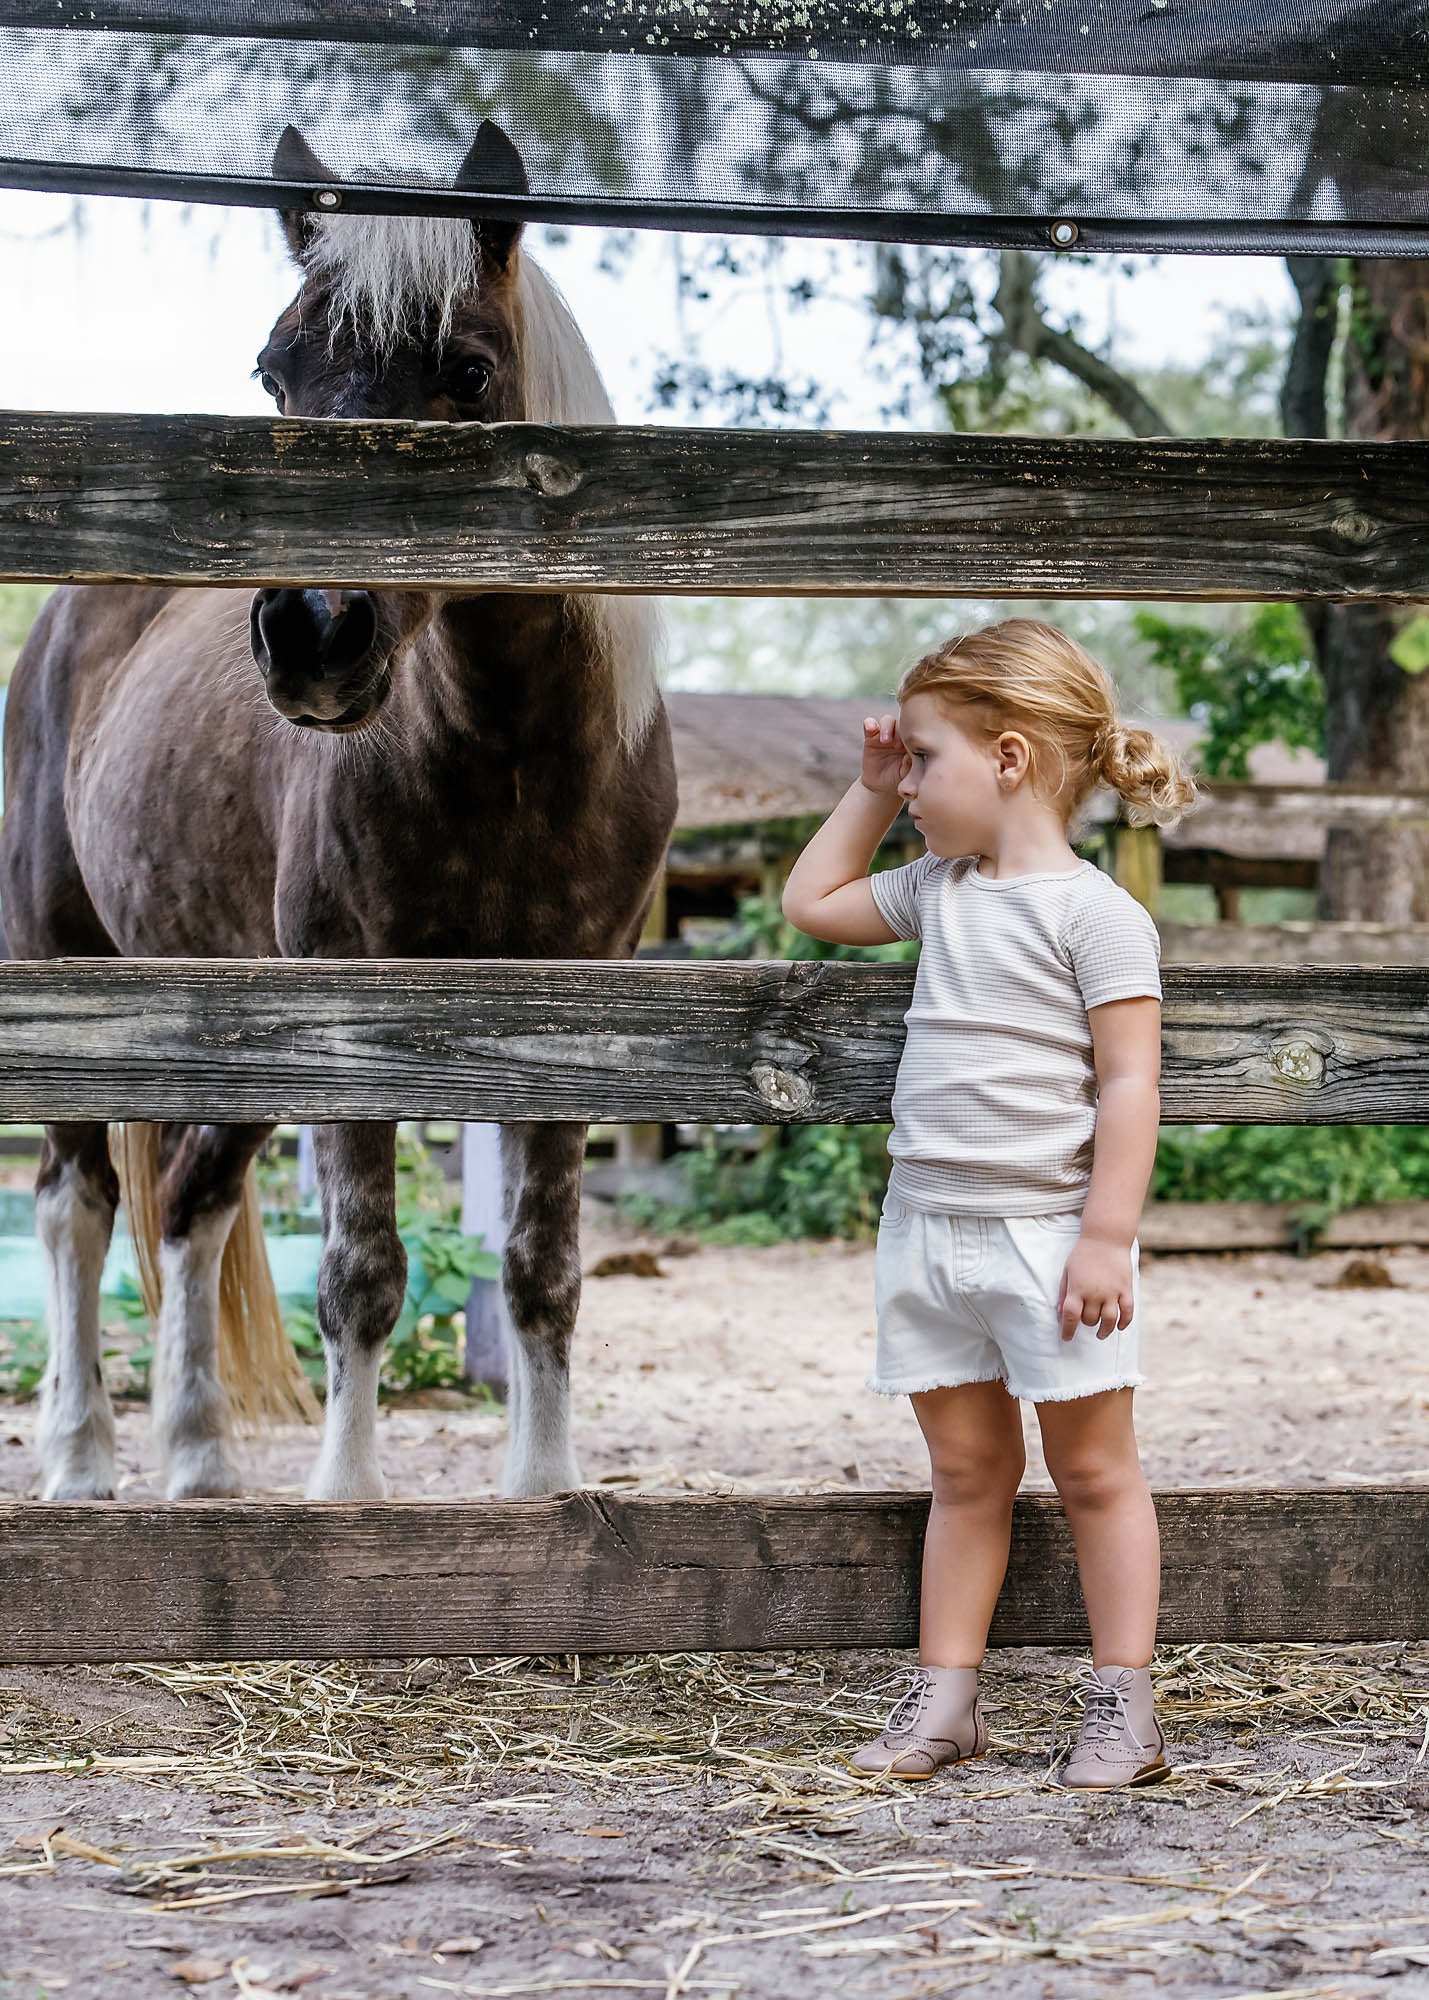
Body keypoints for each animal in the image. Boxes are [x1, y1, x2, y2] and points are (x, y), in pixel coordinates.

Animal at [1, 121, 680, 1504]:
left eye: (468, 370)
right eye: (276, 373)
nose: (312, 632)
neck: (509, 761)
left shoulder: (582, 1003)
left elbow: (542, 1268)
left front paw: (542, 1485)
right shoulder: (352, 1007)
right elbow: (362, 1270)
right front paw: (348, 1495)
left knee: (190, 1200)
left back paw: (200, 1458)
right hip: (65, 971)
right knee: (74, 1199)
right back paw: (82, 1456)